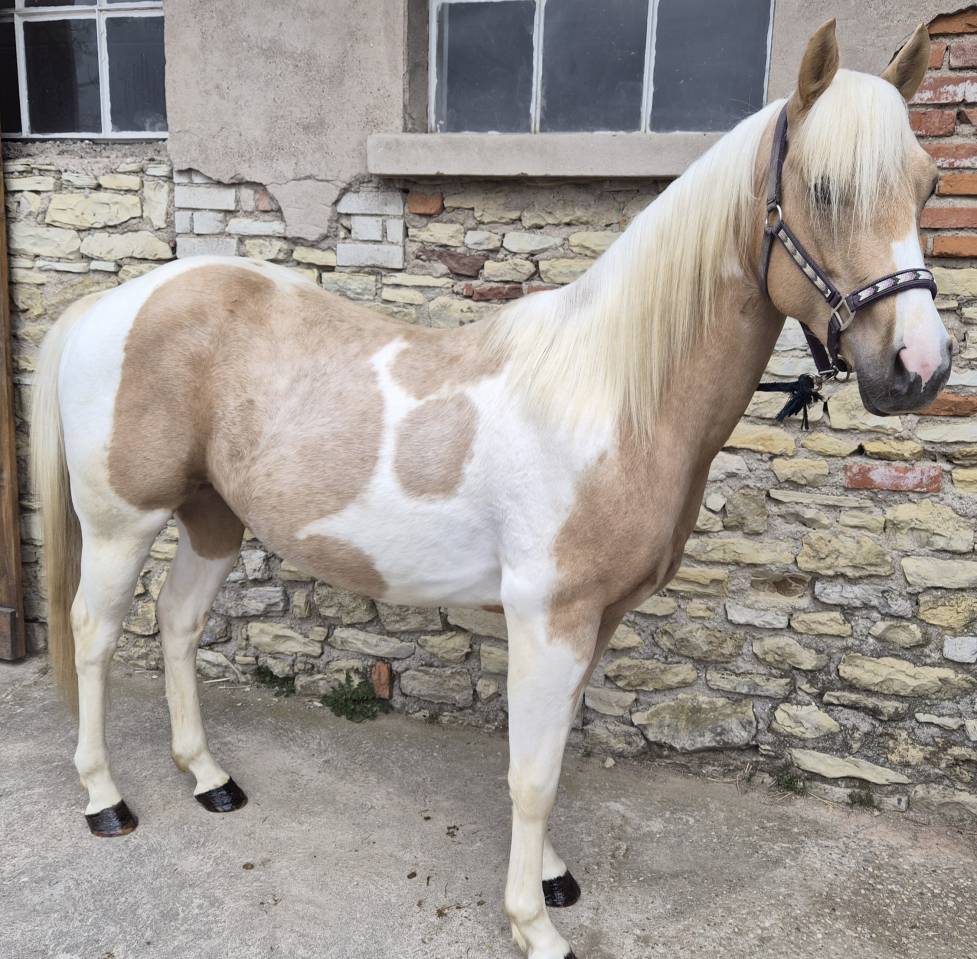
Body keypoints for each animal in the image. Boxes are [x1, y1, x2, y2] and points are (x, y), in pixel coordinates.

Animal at [30, 20, 948, 959]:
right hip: (121, 523)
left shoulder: (593, 621)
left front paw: (550, 877)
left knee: (178, 622)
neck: (610, 394)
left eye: (927, 184)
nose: (918, 368)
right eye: (824, 190)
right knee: (95, 632)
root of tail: (117, 302)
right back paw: (105, 798)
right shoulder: (549, 617)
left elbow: (557, 752)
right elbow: (531, 773)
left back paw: (208, 777)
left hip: (212, 514)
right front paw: (533, 924)